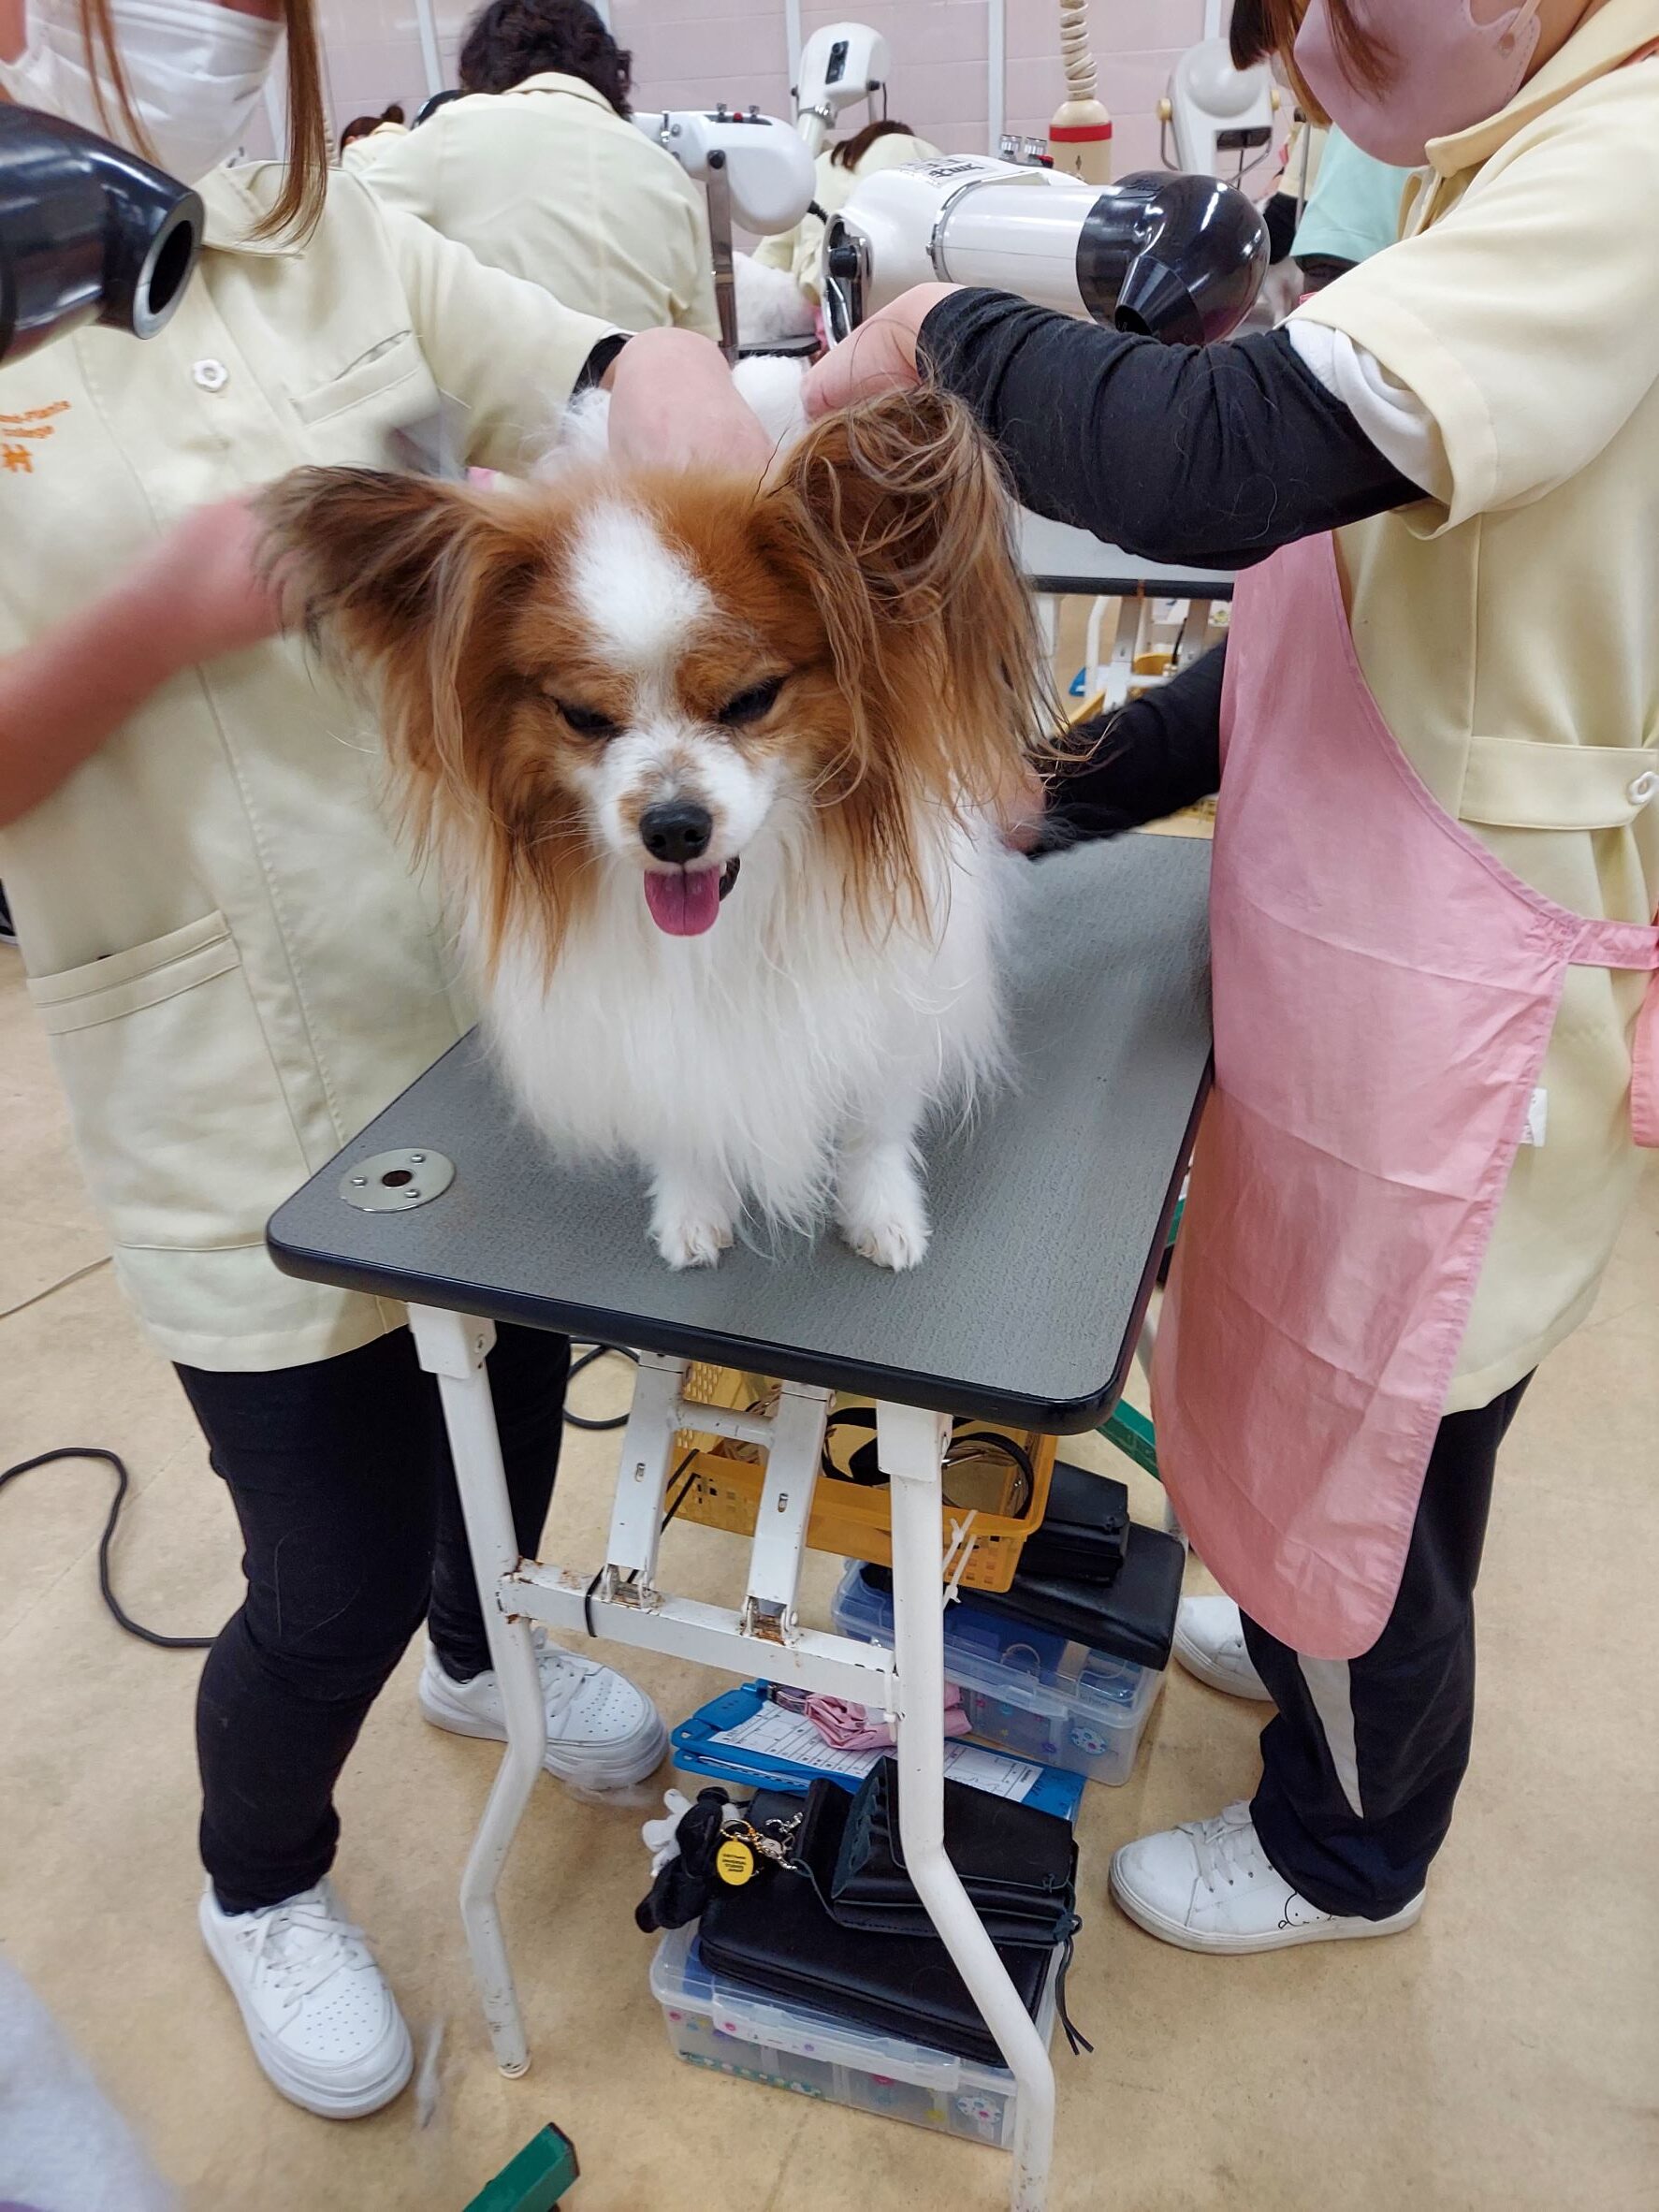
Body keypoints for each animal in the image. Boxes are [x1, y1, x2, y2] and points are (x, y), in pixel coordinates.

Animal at [262, 385, 1050, 1270]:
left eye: (749, 700)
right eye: (582, 717)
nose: (672, 827)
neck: (731, 926)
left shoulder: (894, 992)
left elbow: (873, 1124)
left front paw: (882, 1212)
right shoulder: (641, 1028)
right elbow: (677, 1113)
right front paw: (692, 1207)